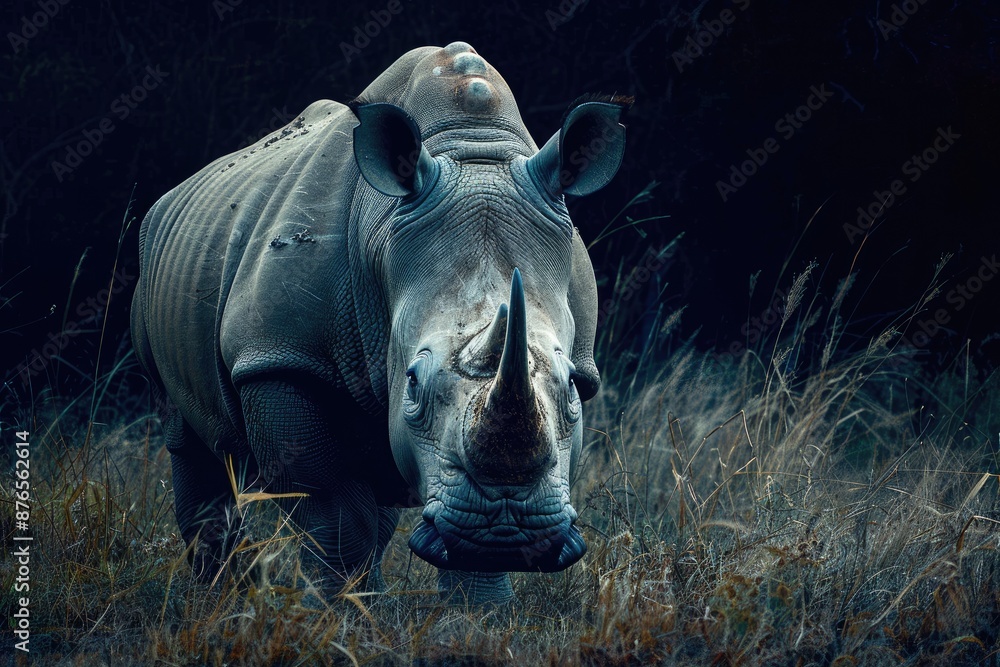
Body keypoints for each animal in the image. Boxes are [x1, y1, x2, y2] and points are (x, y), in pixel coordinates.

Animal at [131, 42, 629, 603]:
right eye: (411, 382)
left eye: (572, 386)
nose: (504, 531)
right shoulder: (280, 356)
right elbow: (332, 510)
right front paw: (337, 610)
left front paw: (478, 609)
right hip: (159, 257)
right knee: (191, 440)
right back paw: (219, 594)